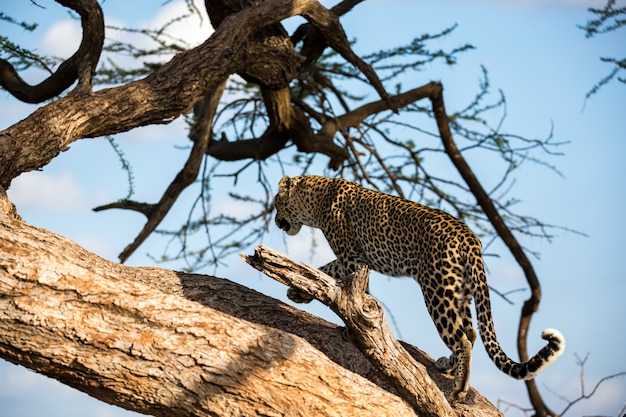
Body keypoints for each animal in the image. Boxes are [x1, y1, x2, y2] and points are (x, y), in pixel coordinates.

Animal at [272, 175, 564, 404]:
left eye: (276, 203)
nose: (275, 221)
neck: (317, 199)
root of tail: (469, 237)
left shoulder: (353, 258)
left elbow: (353, 291)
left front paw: (353, 325)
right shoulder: (359, 260)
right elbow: (328, 271)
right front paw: (299, 292)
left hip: (437, 289)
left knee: (461, 338)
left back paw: (458, 391)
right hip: (459, 291)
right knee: (470, 333)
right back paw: (447, 366)